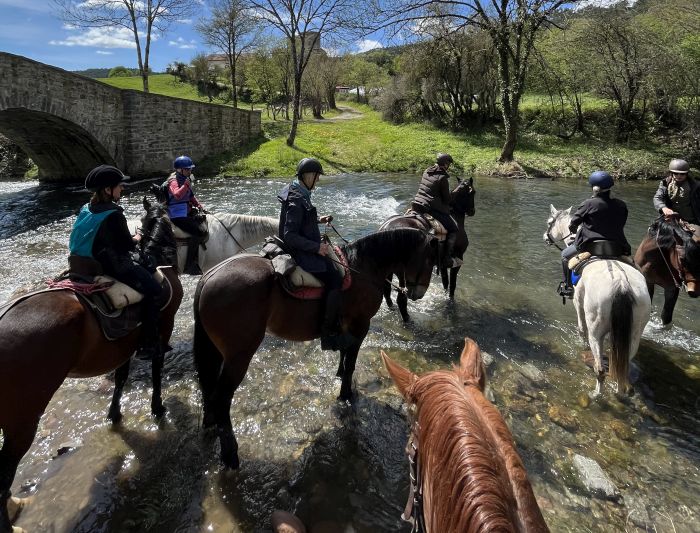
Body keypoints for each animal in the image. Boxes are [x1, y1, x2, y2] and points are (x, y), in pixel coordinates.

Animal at [0, 198, 183, 532]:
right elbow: (156, 370)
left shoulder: (125, 346)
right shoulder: (163, 328)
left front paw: (114, 414)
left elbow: (121, 378)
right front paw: (158, 407)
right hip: (22, 421)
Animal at [193, 227, 438, 468]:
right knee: (221, 399)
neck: (363, 267)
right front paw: (346, 394)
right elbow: (351, 362)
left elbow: (344, 354)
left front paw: (340, 375)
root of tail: (209, 276)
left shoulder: (347, 326)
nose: (418, 294)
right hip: (239, 356)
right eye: (429, 260)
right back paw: (230, 455)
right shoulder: (361, 325)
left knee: (209, 391)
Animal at [380, 178, 478, 320]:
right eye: (473, 192)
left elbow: (445, 282)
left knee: (387, 290)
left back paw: (391, 307)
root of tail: (385, 230)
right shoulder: (458, 259)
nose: (472, 211)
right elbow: (452, 284)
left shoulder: (442, 263)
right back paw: (407, 319)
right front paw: (451, 300)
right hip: (403, 273)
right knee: (401, 298)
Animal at [540, 205, 652, 394]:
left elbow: (581, 329)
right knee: (621, 365)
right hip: (634, 332)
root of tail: (621, 283)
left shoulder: (578, 304)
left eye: (550, 222)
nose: (545, 238)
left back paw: (596, 394)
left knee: (599, 368)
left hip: (596, 330)